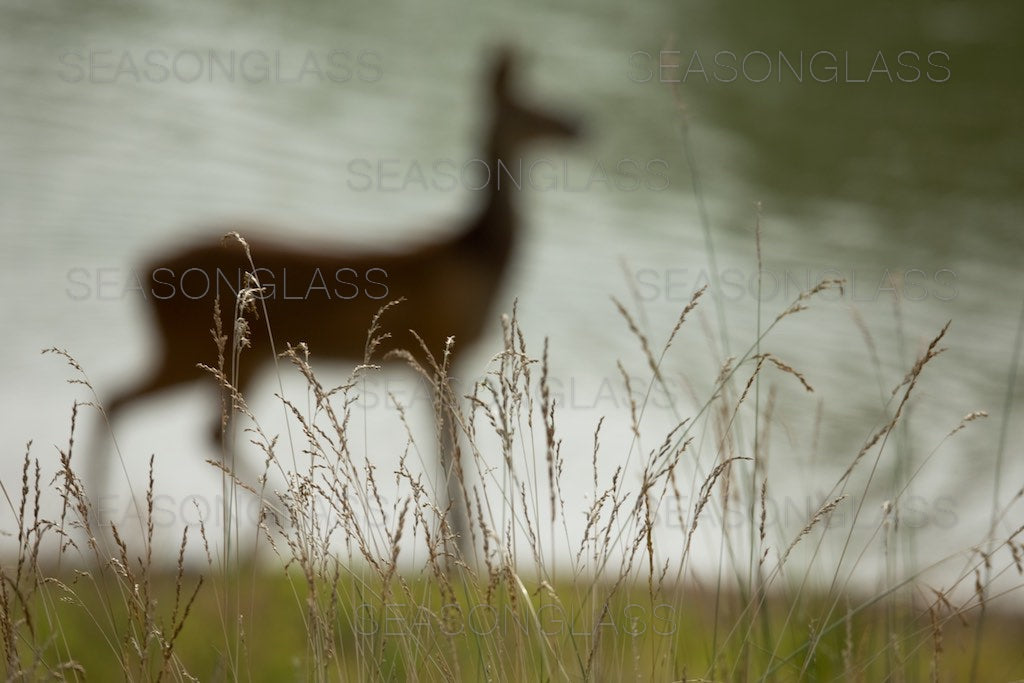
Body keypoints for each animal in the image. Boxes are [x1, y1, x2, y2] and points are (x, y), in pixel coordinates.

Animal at [96, 46, 581, 561]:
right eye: (532, 106)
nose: (581, 124)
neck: (476, 259)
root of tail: (142, 268)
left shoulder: (432, 361)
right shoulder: (439, 350)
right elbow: (450, 450)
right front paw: (464, 555)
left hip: (226, 354)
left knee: (166, 412)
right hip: (201, 348)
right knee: (151, 407)